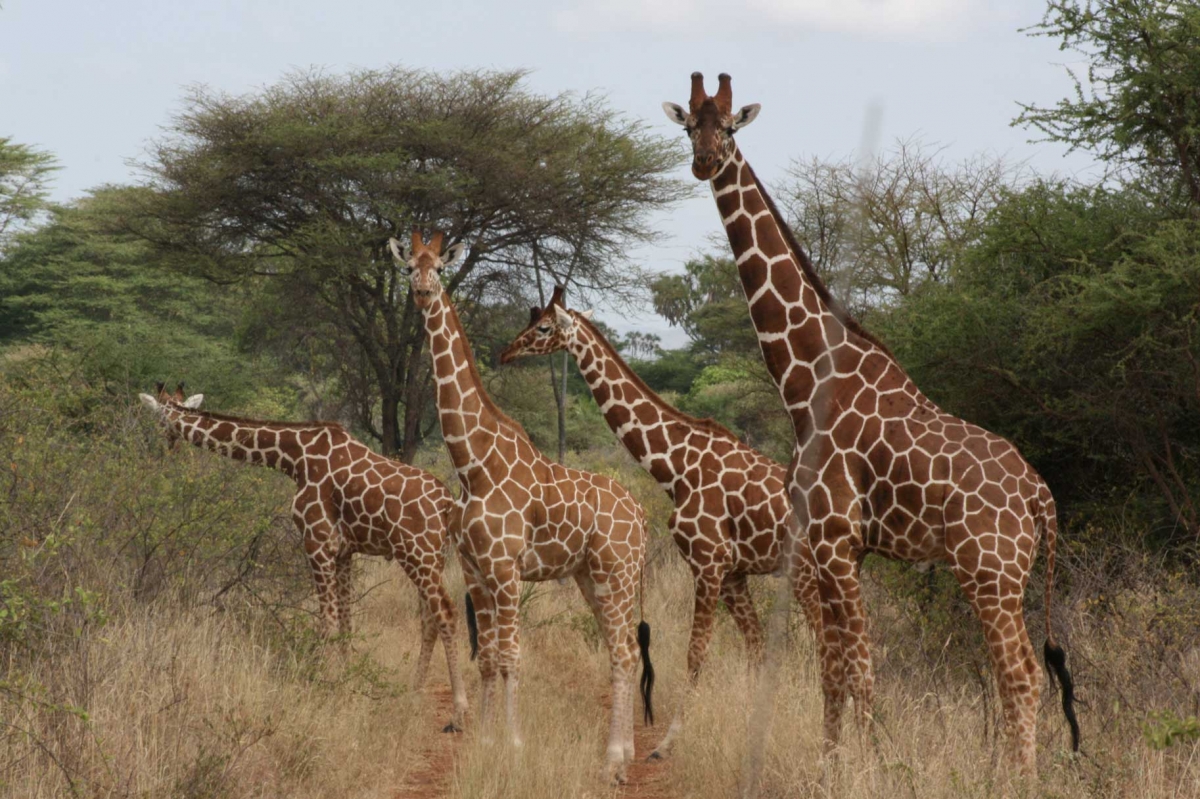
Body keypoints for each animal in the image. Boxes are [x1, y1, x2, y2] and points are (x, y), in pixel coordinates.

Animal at [140, 379, 468, 729]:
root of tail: (447, 504)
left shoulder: (316, 540)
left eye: (160, 417)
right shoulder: (344, 551)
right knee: (428, 618)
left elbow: (326, 621)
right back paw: (413, 692)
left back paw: (458, 711)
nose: (166, 445)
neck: (292, 458)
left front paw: (322, 682)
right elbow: (346, 620)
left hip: (417, 553)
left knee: (446, 612)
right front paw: (346, 679)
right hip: (433, 557)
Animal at [391, 231, 657, 782]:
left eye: (438, 268)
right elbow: (489, 656)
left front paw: (512, 744)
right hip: (590, 576)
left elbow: (512, 655)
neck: (473, 462)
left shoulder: (506, 568)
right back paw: (620, 755)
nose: (423, 293)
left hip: (617, 574)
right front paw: (485, 739)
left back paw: (612, 759)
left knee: (623, 651)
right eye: (408, 267)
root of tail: (643, 517)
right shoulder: (474, 568)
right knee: (620, 650)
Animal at [499, 284, 825, 753]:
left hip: (803, 571)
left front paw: (667, 742)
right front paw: (751, 726)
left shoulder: (708, 564)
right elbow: (755, 645)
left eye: (543, 326)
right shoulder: (733, 572)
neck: (676, 469)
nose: (506, 352)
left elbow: (695, 651)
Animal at [662, 74, 1084, 772]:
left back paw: (1018, 777)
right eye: (689, 126)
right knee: (1018, 672)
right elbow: (833, 669)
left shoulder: (836, 541)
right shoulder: (830, 548)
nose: (705, 162)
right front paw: (831, 762)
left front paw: (873, 765)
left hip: (990, 572)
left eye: (730, 126)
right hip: (1003, 575)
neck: (805, 383)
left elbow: (860, 667)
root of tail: (1040, 496)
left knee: (1022, 672)